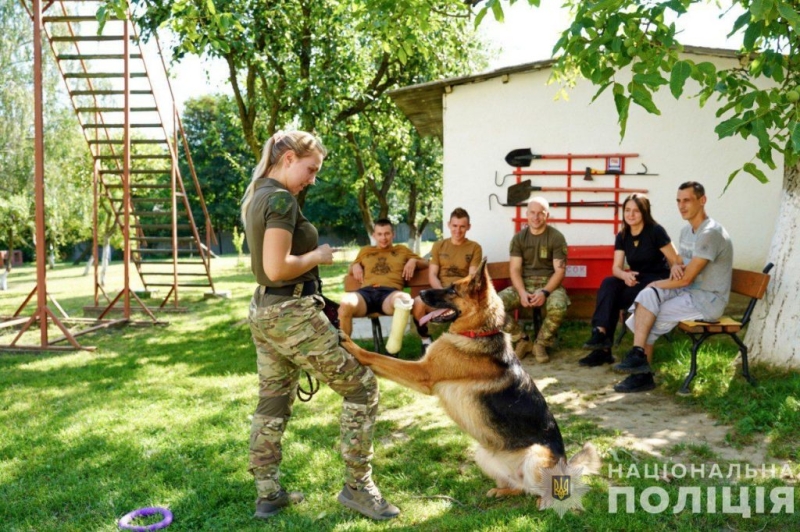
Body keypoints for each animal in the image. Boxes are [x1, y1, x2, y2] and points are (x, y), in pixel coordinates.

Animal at [340, 260, 600, 500]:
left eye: (452, 290)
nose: (420, 294)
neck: (477, 333)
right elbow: (381, 362)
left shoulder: (422, 372)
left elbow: (378, 357)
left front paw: (350, 344)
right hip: (483, 453)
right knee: (521, 488)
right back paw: (501, 491)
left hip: (536, 454)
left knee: (543, 491)